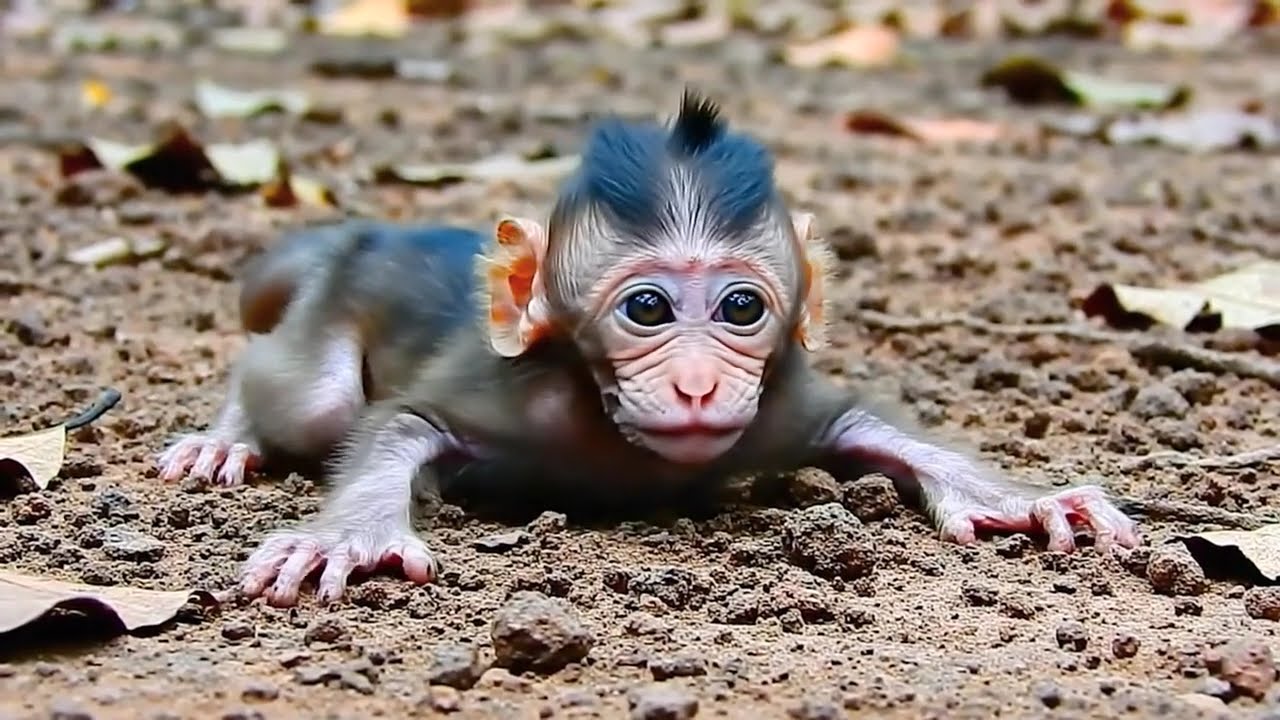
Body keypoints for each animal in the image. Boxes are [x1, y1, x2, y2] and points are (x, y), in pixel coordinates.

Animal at [224, 91, 1139, 607]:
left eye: (740, 307)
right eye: (648, 308)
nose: (698, 386)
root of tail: (373, 234)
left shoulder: (781, 408)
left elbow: (865, 422)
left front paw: (1021, 499)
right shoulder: (513, 393)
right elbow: (398, 423)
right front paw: (349, 537)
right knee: (311, 401)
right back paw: (228, 436)